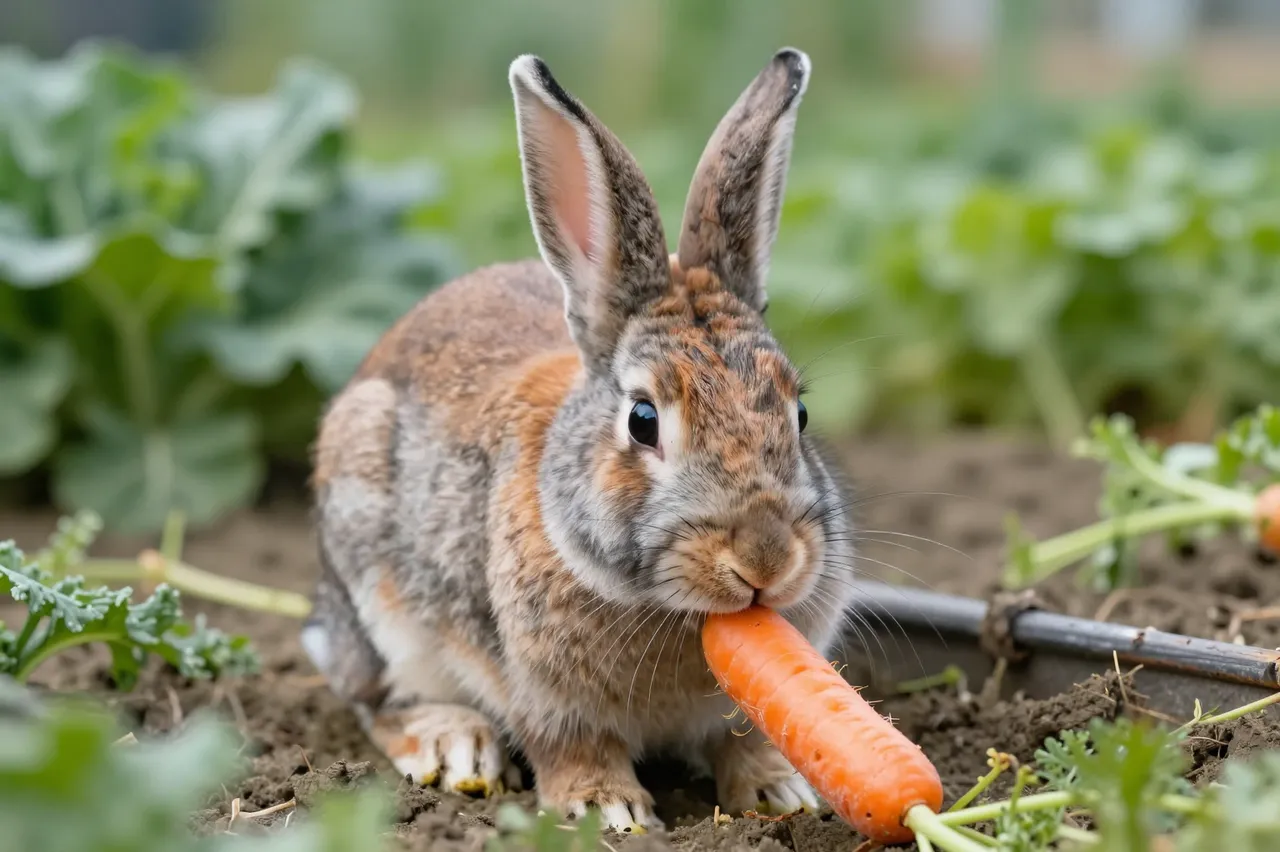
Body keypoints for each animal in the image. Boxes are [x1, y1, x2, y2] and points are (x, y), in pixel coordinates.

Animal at [302, 47, 860, 833]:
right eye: (643, 420)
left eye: (800, 412)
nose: (765, 558)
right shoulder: (542, 695)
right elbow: (572, 749)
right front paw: (609, 812)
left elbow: (744, 739)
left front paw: (781, 793)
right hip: (375, 592)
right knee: (376, 701)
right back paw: (455, 746)